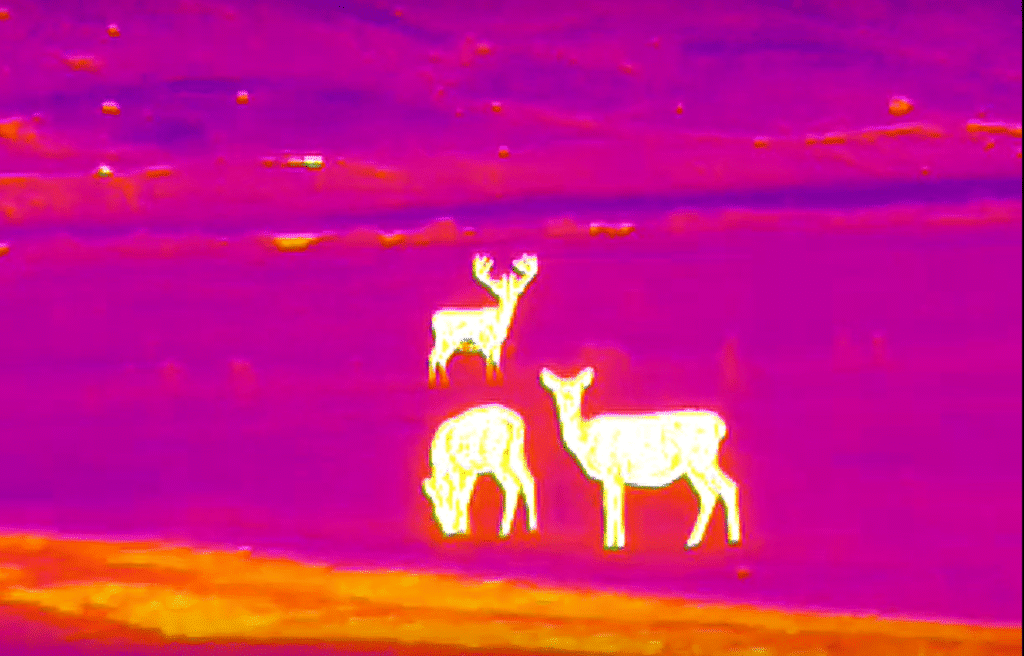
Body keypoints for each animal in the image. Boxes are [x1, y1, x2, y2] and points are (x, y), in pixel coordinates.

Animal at [422, 404, 538, 537]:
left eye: (442, 502)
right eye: (434, 504)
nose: (448, 531)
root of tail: (515, 421)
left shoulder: (456, 468)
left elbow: (458, 494)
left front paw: (460, 529)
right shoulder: (470, 471)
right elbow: (464, 496)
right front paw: (464, 529)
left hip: (497, 460)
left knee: (512, 484)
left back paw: (503, 531)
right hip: (515, 455)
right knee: (528, 480)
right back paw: (532, 527)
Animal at [428, 253, 539, 387]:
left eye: (517, 293)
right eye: (498, 293)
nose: (508, 302)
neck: (498, 323)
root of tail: (434, 317)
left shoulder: (498, 344)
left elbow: (496, 362)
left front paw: (499, 380)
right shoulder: (484, 342)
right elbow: (489, 364)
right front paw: (489, 381)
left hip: (441, 341)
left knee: (433, 356)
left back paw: (433, 382)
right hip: (448, 340)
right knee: (440, 358)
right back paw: (444, 382)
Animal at [539, 367, 741, 551]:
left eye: (578, 388)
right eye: (557, 390)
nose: (568, 400)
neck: (586, 441)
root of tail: (720, 426)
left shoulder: (612, 470)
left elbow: (612, 506)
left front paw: (612, 544)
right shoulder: (614, 476)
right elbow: (613, 505)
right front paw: (616, 542)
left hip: (702, 459)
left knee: (727, 487)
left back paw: (732, 539)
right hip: (694, 467)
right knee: (709, 494)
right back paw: (693, 541)